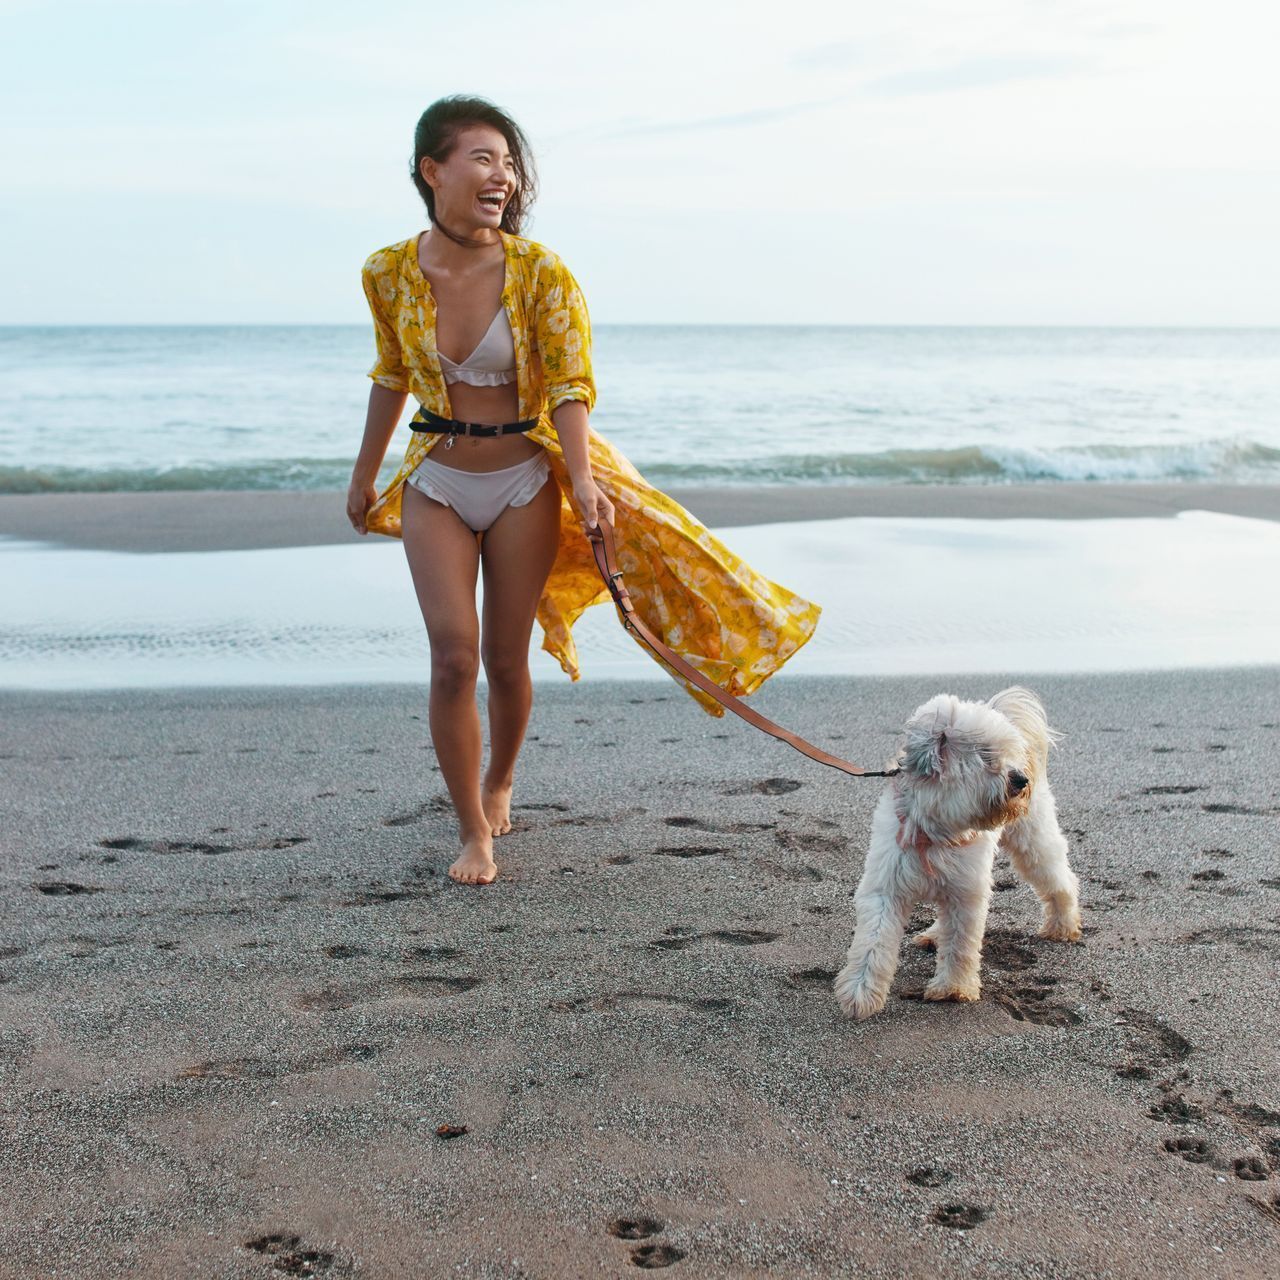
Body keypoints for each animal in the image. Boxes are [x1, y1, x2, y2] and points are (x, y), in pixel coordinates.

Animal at [834, 691, 1085, 1018]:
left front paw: (953, 988)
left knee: (1060, 879)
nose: (1021, 779)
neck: (939, 829)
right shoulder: (886, 887)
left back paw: (1063, 926)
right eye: (986, 754)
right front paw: (860, 992)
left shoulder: (967, 894)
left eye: (1008, 752)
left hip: (1033, 842)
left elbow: (960, 944)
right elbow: (872, 942)